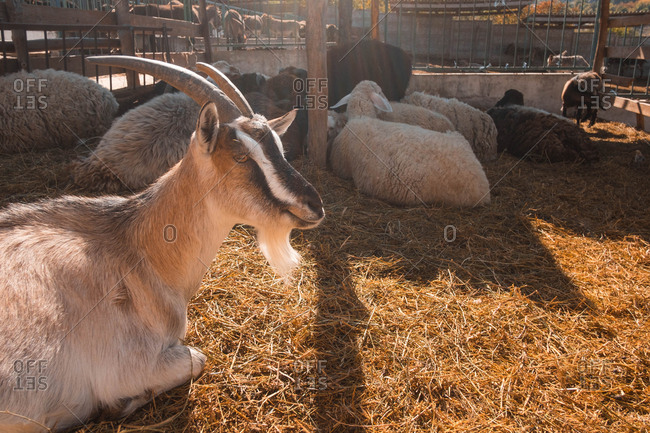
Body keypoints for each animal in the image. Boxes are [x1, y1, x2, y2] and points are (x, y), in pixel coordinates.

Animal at [0, 55, 324, 433]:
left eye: (279, 148)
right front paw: (119, 405)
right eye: (241, 157)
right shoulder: (129, 366)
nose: (313, 205)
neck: (136, 251)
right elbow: (198, 358)